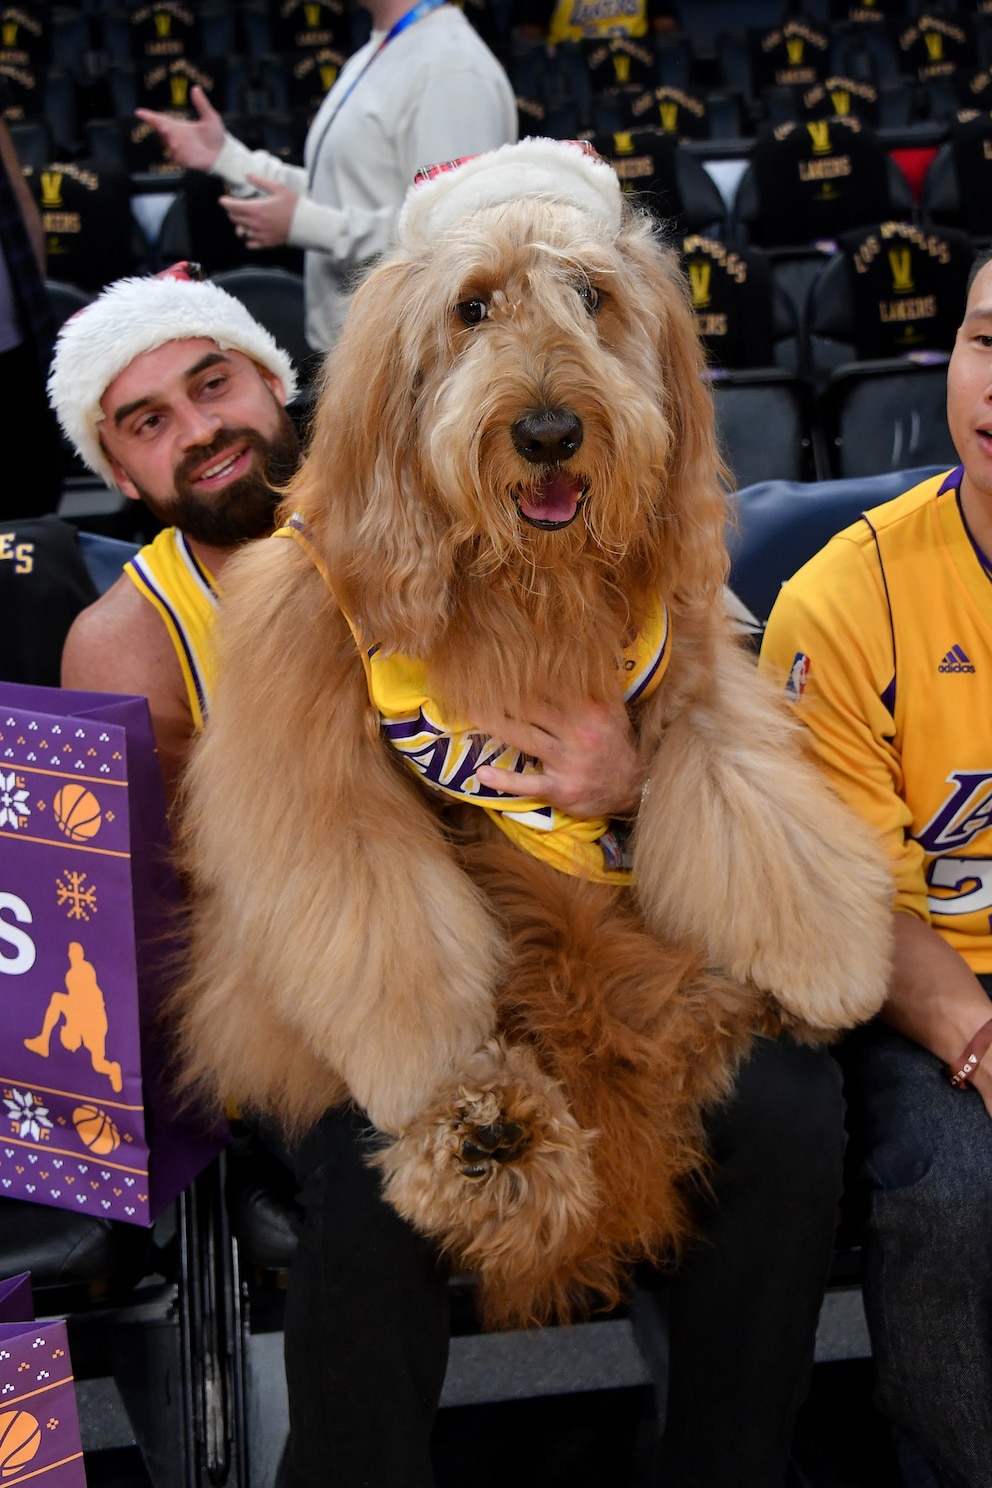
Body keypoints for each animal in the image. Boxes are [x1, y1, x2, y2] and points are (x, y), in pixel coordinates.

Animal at [174, 139, 898, 1327]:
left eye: (590, 296)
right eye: (472, 307)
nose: (550, 430)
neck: (523, 592)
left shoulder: (693, 679)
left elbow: (750, 810)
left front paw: (829, 957)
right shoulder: (315, 740)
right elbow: (376, 905)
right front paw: (430, 1065)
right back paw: (486, 1133)